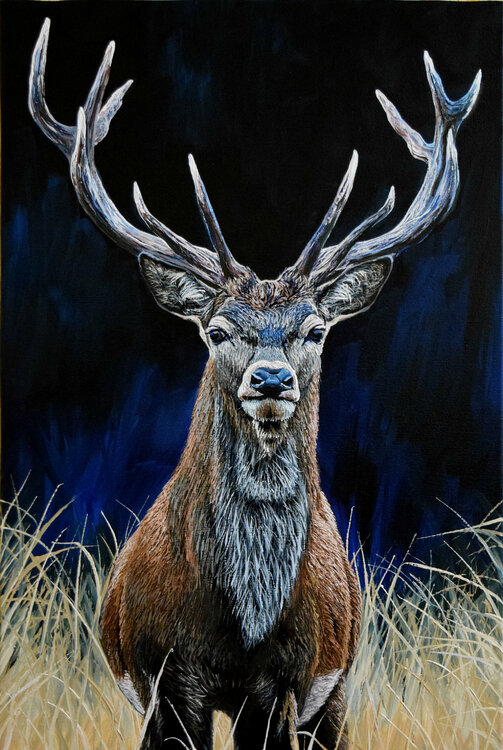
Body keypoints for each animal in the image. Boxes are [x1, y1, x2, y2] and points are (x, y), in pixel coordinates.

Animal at [29, 18, 480, 750]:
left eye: (316, 329)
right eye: (216, 331)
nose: (270, 378)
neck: (239, 631)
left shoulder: (291, 681)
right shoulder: (161, 678)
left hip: (339, 686)